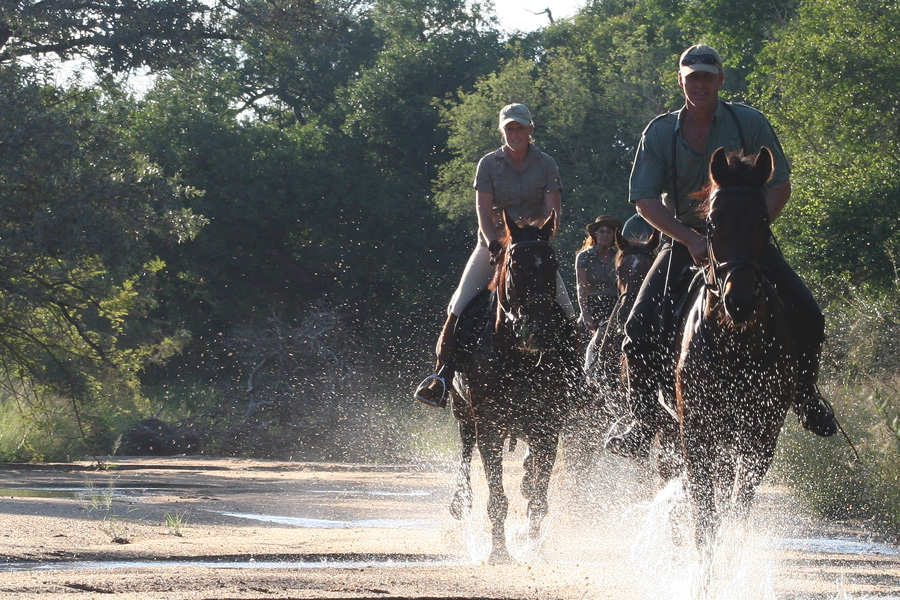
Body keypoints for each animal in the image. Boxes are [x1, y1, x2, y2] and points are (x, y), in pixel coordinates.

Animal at [448, 210, 580, 564]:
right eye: (515, 265)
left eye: (553, 264)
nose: (541, 329)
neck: (517, 355)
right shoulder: (489, 426)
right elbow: (497, 496)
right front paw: (499, 552)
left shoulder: (547, 427)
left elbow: (538, 497)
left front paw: (532, 549)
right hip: (463, 413)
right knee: (465, 453)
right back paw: (460, 501)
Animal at [673, 146, 796, 549]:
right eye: (713, 221)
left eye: (763, 219)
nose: (738, 300)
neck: (735, 344)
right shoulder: (696, 430)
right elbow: (704, 517)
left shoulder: (761, 433)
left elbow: (736, 510)